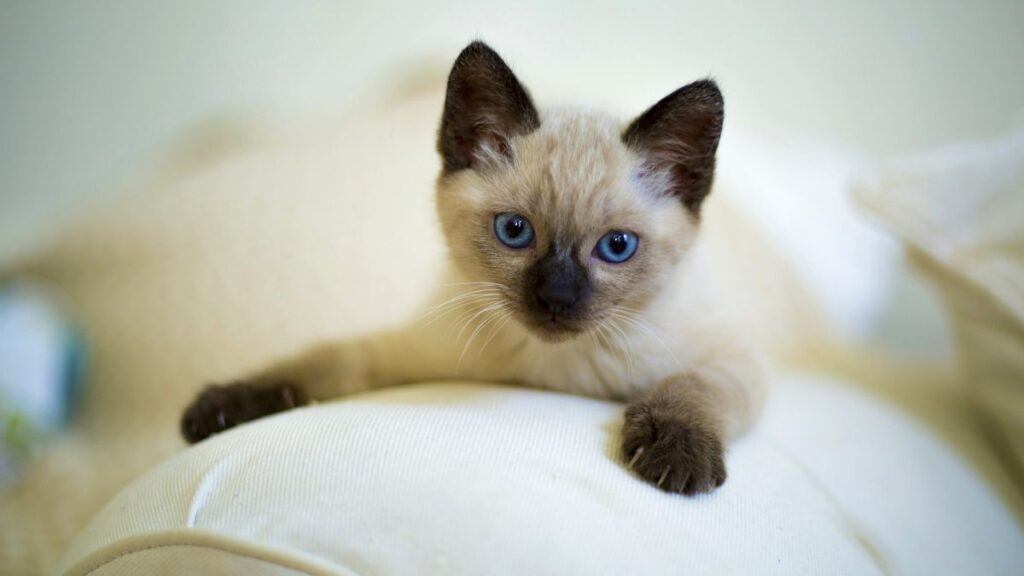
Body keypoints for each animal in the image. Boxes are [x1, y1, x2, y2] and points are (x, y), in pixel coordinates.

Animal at [182, 40, 761, 494]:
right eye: (515, 231)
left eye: (617, 247)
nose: (556, 299)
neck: (548, 374)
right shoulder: (409, 350)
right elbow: (320, 359)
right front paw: (218, 407)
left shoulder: (731, 359)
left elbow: (691, 387)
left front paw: (676, 457)